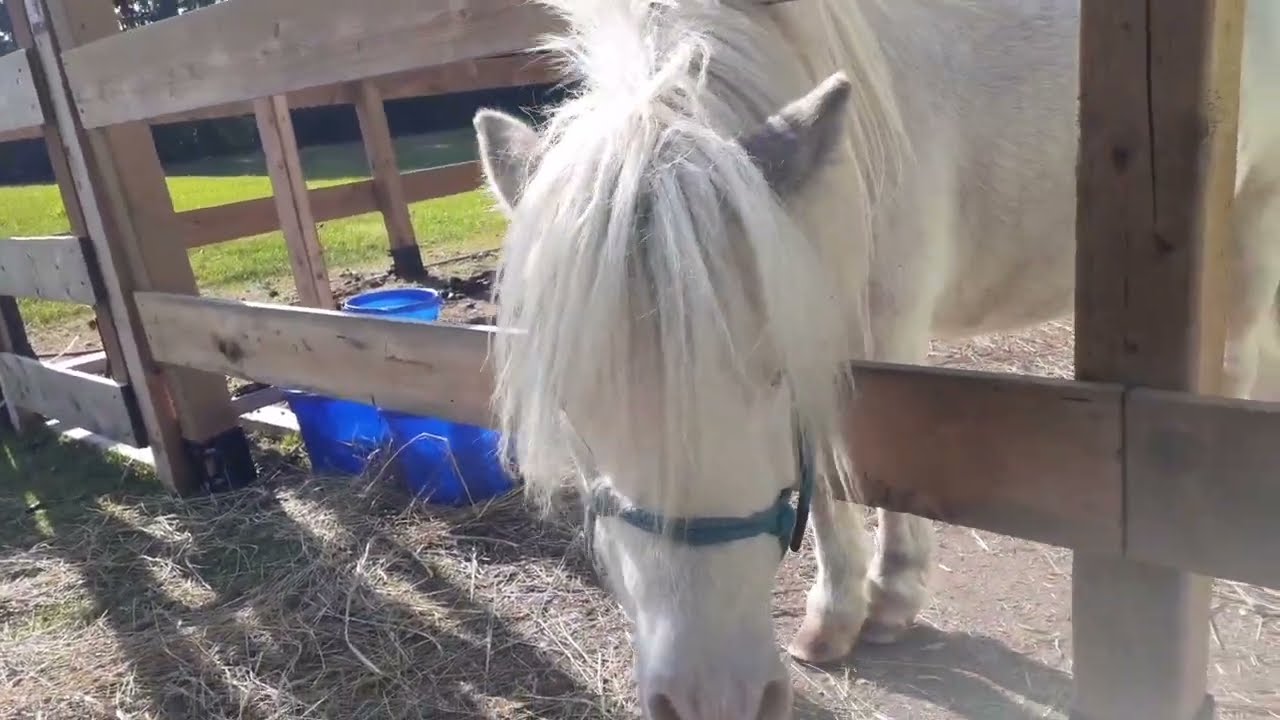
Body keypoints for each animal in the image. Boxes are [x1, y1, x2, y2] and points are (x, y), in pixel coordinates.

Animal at [471, 0, 1280, 717]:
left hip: (1253, 220)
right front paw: (841, 615)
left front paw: (882, 602)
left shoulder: (878, 329)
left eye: (776, 374)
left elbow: (861, 473)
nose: (713, 700)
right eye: (571, 404)